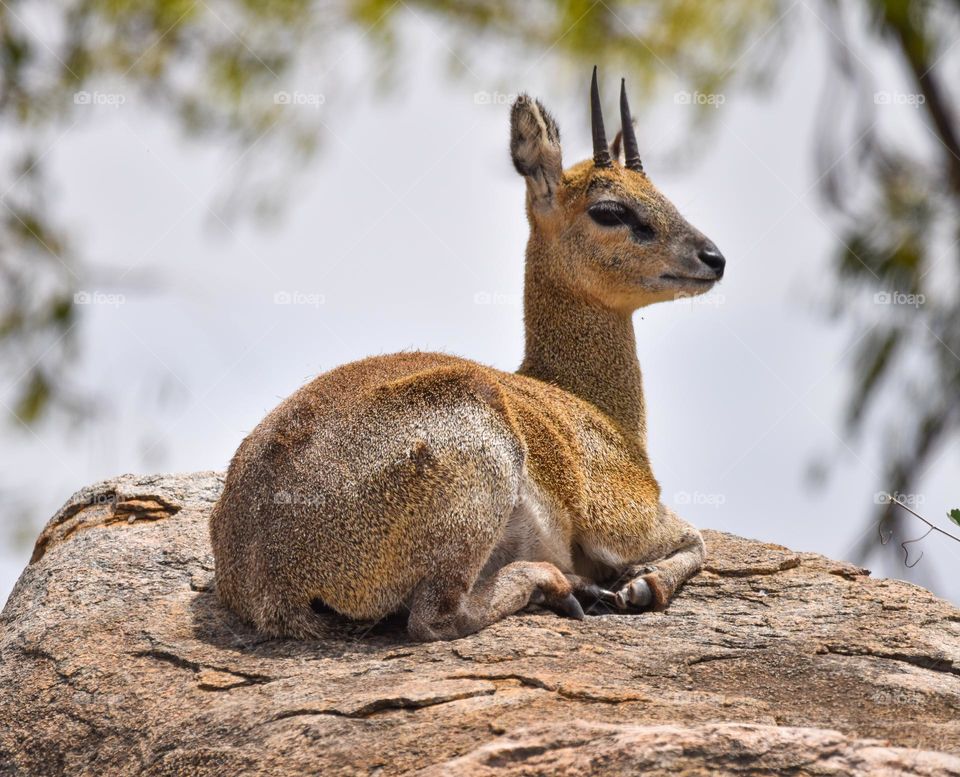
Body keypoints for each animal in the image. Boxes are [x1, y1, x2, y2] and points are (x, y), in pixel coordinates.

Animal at [210, 69, 726, 641]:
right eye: (610, 209)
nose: (713, 258)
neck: (592, 405)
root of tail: (269, 577)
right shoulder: (625, 516)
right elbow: (698, 539)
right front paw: (638, 586)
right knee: (435, 617)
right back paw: (564, 586)